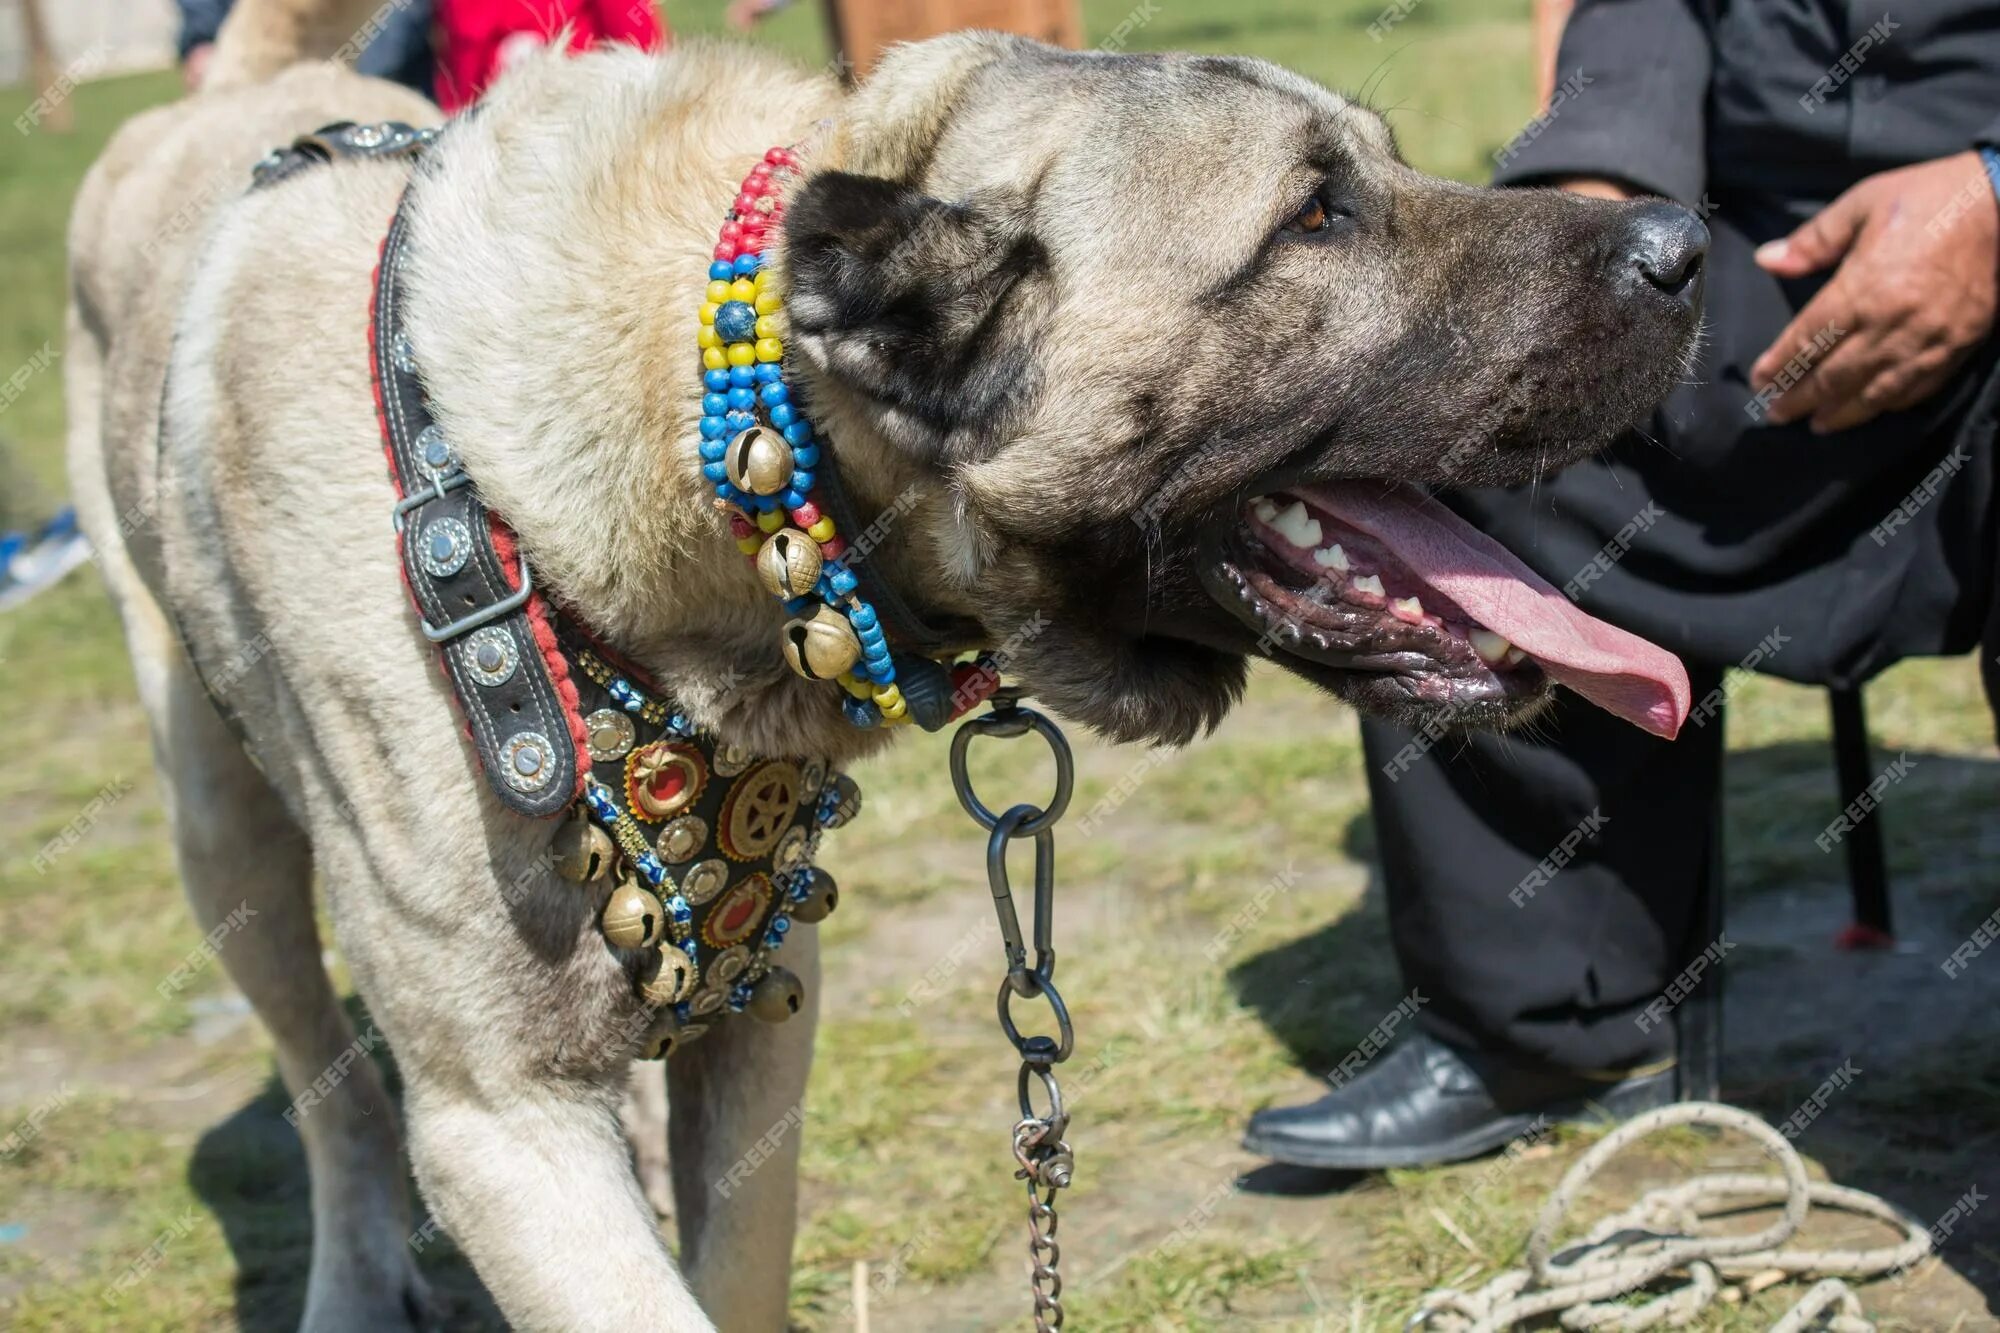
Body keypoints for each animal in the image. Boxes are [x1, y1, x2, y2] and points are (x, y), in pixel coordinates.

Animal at [74, 5, 1704, 1320]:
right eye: (1313, 216)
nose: (1685, 245)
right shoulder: (502, 1122)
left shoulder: (758, 1020)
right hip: (223, 841)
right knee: (332, 1104)